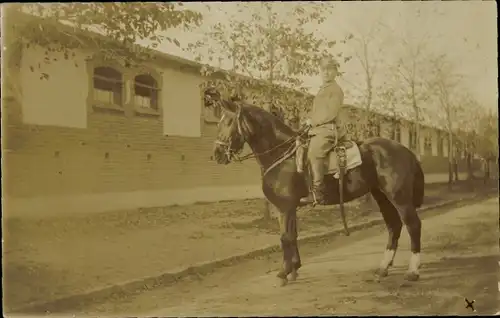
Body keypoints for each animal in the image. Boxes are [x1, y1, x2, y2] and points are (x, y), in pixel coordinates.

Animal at [209, 93, 424, 284]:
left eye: (228, 122)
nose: (217, 154)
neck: (282, 154)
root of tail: (406, 151)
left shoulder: (285, 207)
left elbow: (285, 237)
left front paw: (284, 273)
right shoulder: (289, 208)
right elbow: (292, 235)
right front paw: (294, 269)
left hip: (399, 198)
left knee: (413, 225)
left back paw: (412, 271)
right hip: (382, 196)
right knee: (394, 226)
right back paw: (383, 268)